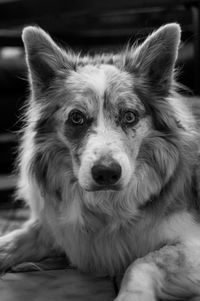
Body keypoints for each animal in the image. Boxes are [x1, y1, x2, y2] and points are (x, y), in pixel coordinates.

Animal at [0, 24, 200, 300]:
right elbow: (7, 243)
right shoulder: (54, 229)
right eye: (76, 118)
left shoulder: (189, 241)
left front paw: (131, 295)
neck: (107, 206)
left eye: (129, 116)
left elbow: (141, 262)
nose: (106, 173)